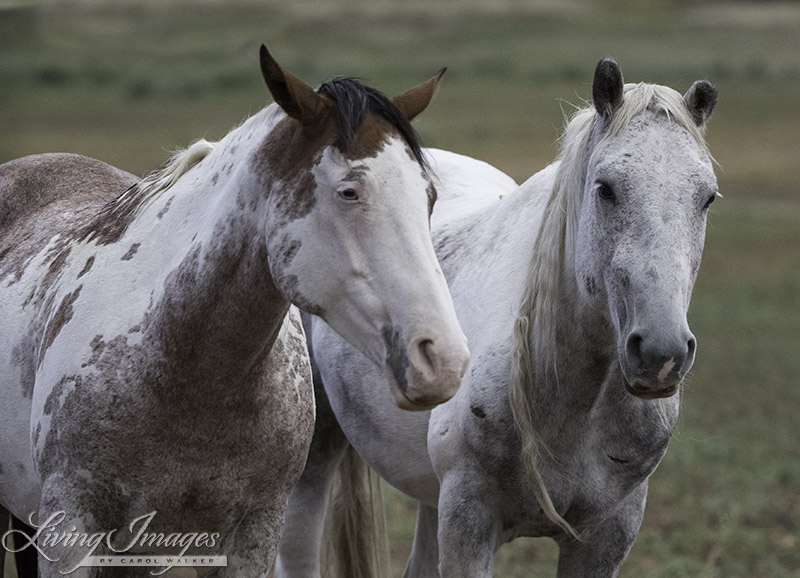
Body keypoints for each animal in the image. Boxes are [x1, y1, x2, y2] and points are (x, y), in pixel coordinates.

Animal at [276, 59, 720, 576]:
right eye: (606, 189)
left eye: (707, 198)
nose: (661, 354)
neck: (575, 401)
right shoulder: (468, 523)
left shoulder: (608, 535)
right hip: (316, 455)